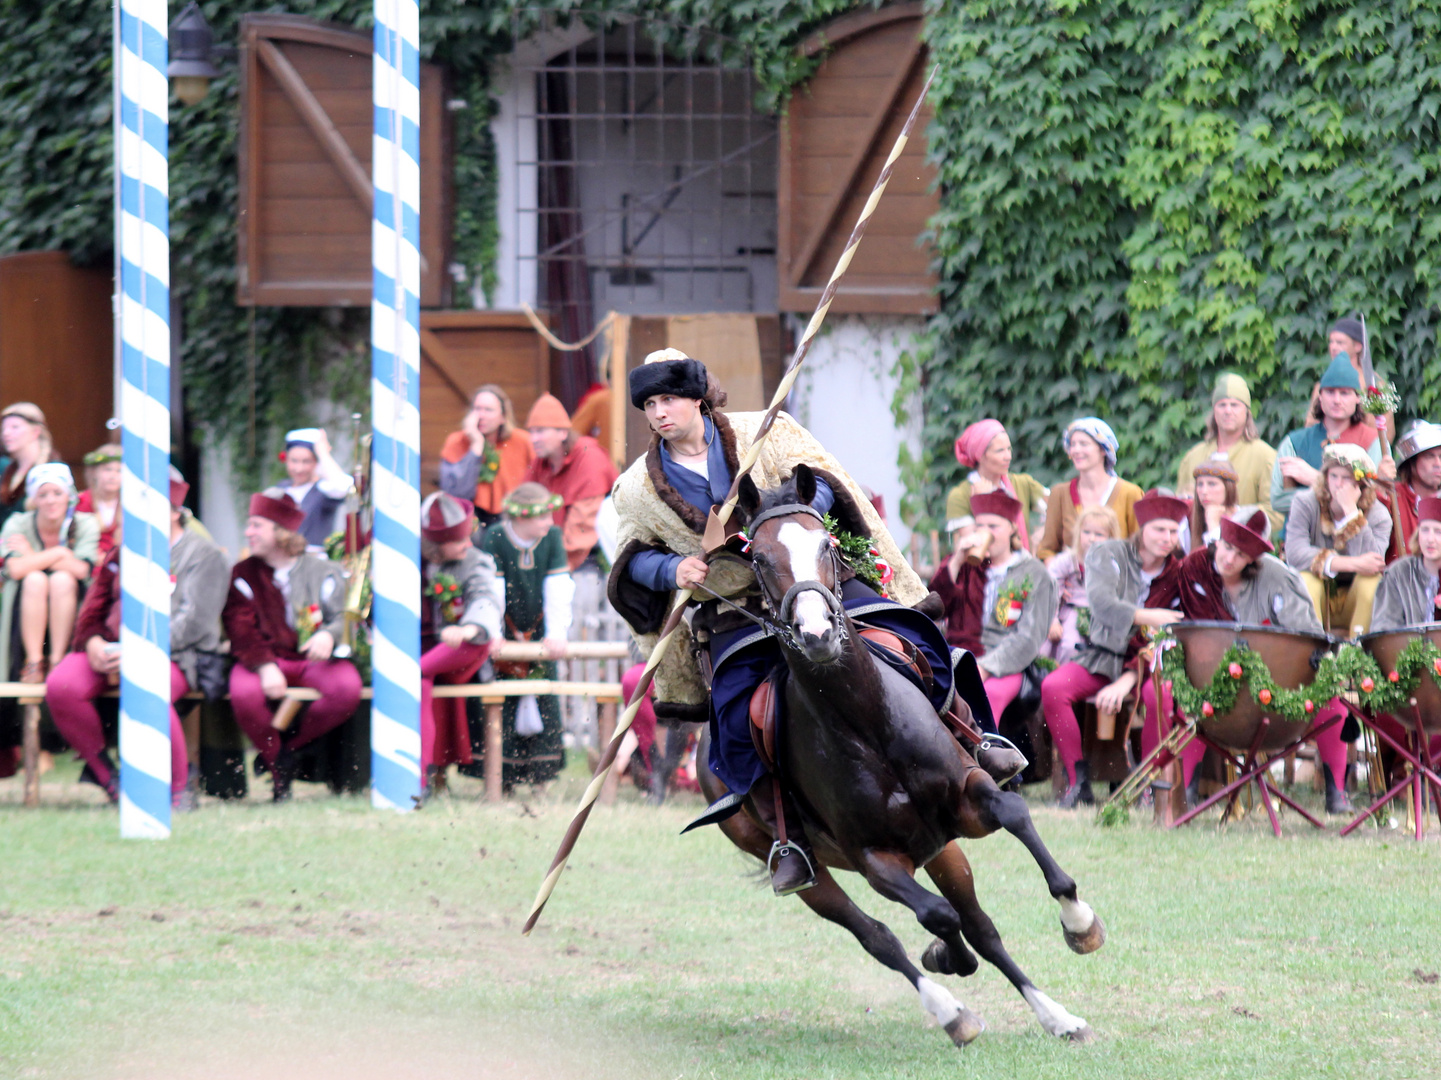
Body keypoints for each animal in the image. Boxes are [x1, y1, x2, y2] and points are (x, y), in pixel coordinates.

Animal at [703, 464, 1106, 1043]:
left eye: (825, 543)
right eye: (758, 558)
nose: (817, 633)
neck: (865, 721)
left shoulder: (968, 793)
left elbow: (1013, 815)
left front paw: (1079, 922)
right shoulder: (875, 860)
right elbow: (936, 918)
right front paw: (947, 962)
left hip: (941, 847)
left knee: (980, 926)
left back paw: (1056, 1015)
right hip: (804, 869)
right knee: (879, 936)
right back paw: (952, 1009)